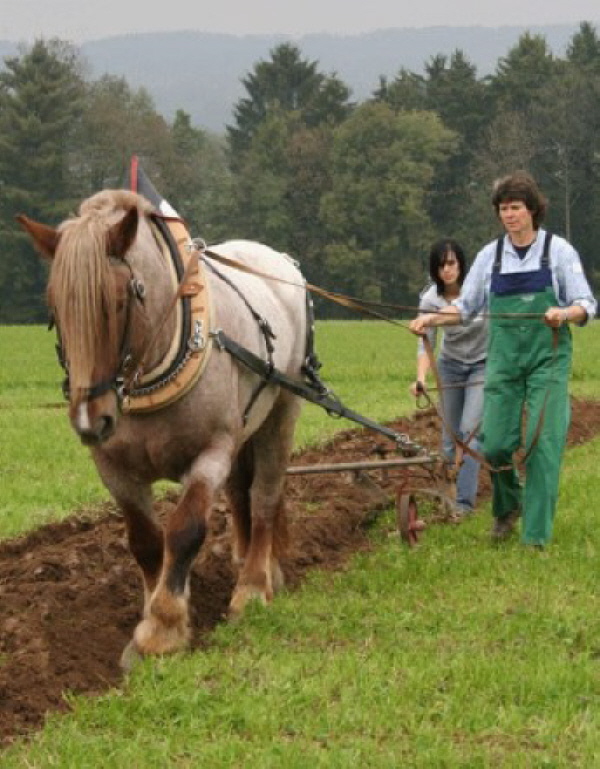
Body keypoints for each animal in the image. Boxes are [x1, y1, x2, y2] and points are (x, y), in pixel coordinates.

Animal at [17, 189, 310, 664]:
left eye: (119, 301)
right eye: (54, 308)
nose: (89, 421)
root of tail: (279, 258)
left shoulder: (211, 452)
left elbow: (185, 530)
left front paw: (163, 628)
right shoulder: (114, 468)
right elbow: (145, 541)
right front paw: (152, 614)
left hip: (283, 410)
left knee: (265, 495)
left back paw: (253, 586)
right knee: (241, 495)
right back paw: (256, 566)